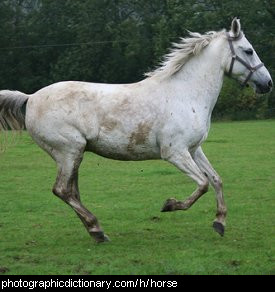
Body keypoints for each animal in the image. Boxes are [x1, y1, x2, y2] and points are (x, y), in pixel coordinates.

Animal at [0, 17, 272, 243]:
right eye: (248, 50)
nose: (267, 83)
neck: (185, 94)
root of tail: (31, 97)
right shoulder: (175, 153)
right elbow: (203, 184)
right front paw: (169, 205)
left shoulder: (194, 149)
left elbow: (216, 180)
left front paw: (220, 223)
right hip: (69, 151)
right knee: (63, 190)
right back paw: (97, 229)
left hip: (73, 154)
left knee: (71, 191)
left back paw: (95, 231)